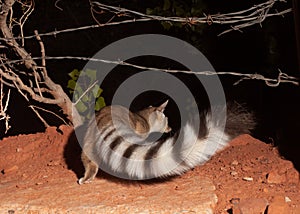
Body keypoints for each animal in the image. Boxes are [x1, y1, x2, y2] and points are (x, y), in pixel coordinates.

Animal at [78, 100, 255, 184]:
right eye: (167, 119)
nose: (170, 127)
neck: (142, 115)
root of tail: (105, 120)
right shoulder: (141, 130)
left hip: (88, 141)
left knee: (88, 160)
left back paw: (87, 177)